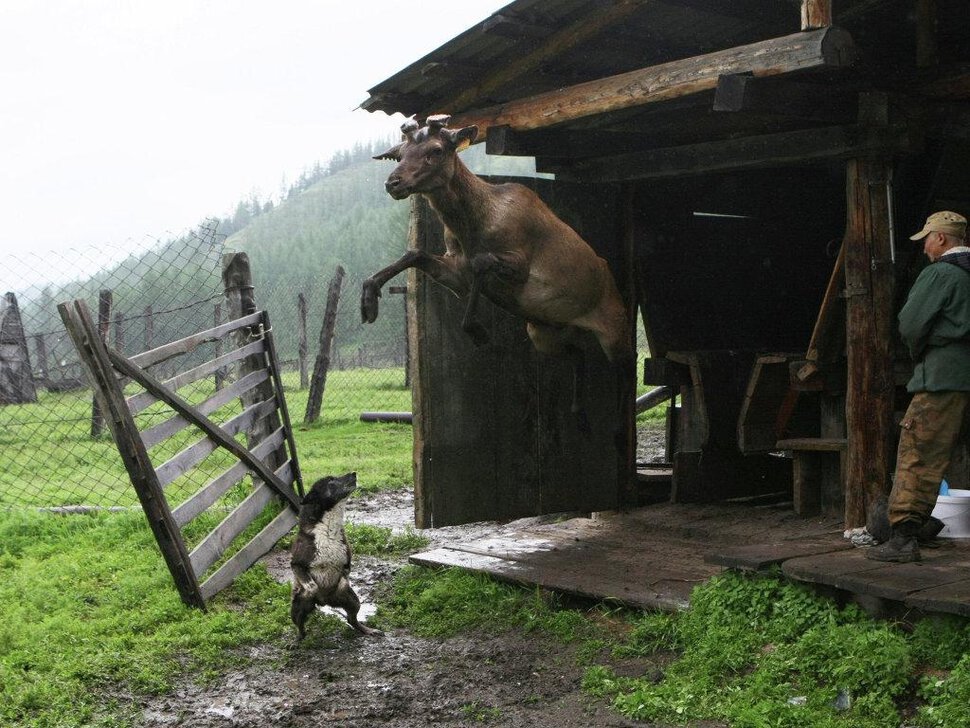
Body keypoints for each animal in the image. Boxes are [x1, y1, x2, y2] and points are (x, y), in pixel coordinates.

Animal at [290, 472, 380, 636]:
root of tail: (324, 602)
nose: (354, 473)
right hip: (296, 609)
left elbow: (344, 582)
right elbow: (311, 586)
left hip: (354, 602)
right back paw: (298, 638)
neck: (328, 529)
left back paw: (368, 630)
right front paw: (310, 591)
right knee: (300, 627)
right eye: (331, 480)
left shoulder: (346, 564)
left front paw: (341, 587)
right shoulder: (296, 564)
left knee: (352, 620)